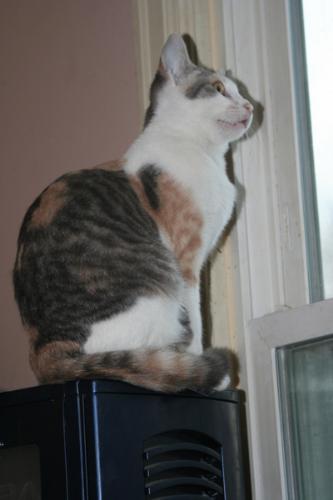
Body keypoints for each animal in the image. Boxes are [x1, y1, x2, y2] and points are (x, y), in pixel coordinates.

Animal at [12, 33, 252, 392]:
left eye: (239, 90)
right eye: (219, 88)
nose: (250, 105)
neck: (203, 152)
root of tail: (44, 352)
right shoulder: (187, 262)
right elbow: (197, 318)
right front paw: (199, 363)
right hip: (159, 301)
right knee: (144, 358)